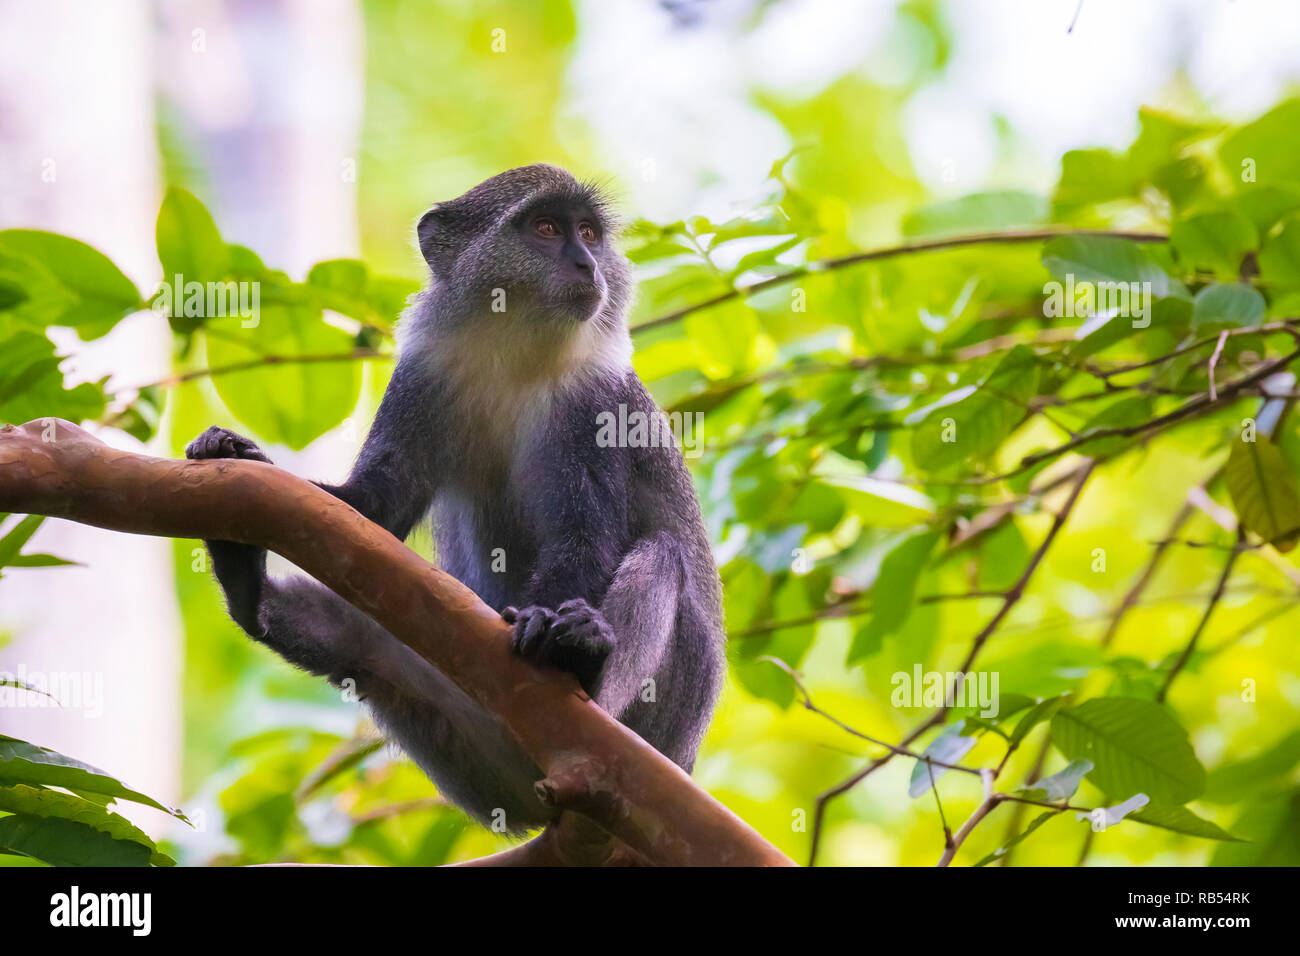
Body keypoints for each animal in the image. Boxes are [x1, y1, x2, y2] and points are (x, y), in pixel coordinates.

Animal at [188, 162, 728, 832]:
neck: (513, 349)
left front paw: (553, 627)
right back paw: (246, 585)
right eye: (546, 229)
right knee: (365, 645)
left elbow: (581, 537)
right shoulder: (424, 370)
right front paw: (242, 457)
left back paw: (582, 664)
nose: (587, 265)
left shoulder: (595, 403)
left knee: (663, 556)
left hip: (660, 726)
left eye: (588, 233)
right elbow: (370, 510)